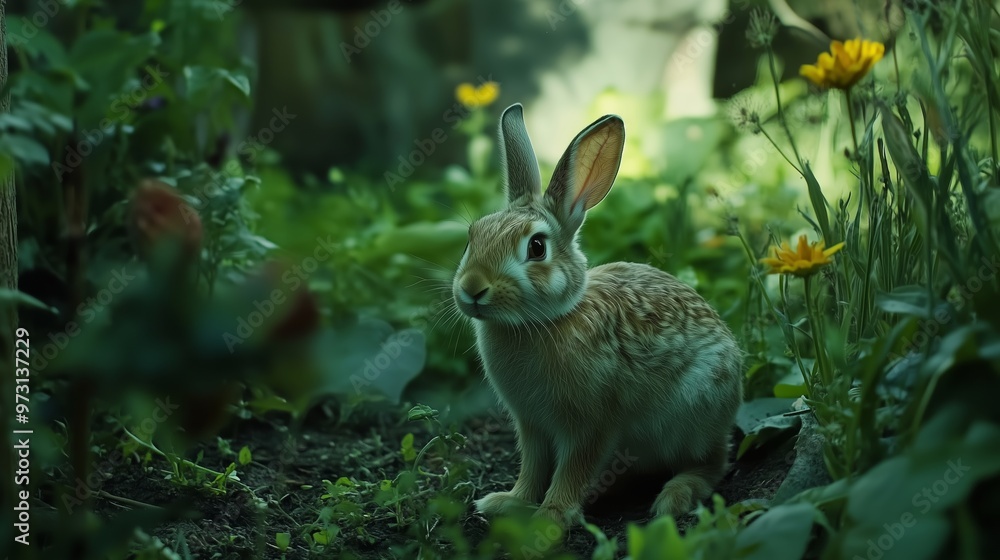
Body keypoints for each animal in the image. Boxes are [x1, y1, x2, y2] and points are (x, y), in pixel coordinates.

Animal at [452, 103, 743, 526]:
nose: (472, 288)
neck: (542, 323)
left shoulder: (591, 425)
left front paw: (551, 517)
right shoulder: (531, 425)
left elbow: (573, 469)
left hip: (696, 411)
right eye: (472, 236)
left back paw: (674, 497)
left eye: (536, 247)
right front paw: (508, 502)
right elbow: (533, 467)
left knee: (713, 462)